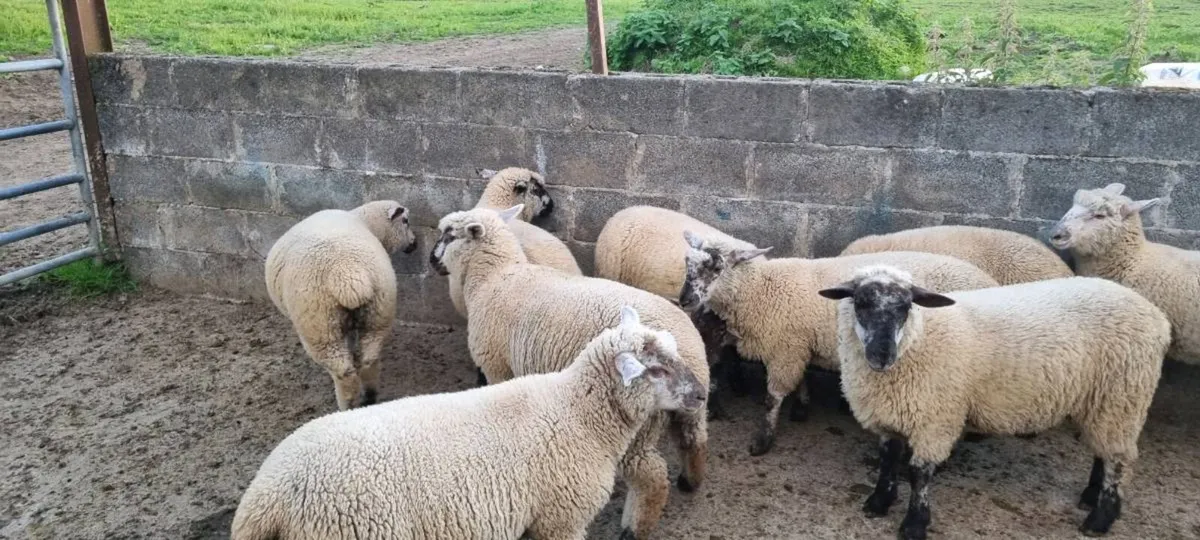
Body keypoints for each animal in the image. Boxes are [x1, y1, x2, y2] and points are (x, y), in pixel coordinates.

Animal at [264, 200, 417, 411]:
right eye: (406, 221)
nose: (414, 243)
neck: (364, 220)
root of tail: (348, 275)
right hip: (377, 314)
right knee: (368, 360)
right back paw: (369, 397)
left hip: (320, 329)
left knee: (344, 373)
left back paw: (347, 404)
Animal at [431, 205, 710, 540]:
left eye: (449, 235)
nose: (431, 260)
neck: (495, 276)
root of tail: (694, 352)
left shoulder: (497, 366)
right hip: (683, 412)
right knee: (693, 441)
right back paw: (690, 481)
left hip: (639, 424)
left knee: (651, 476)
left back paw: (632, 529)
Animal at [680, 234, 999, 456]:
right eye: (687, 264)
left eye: (716, 266)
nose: (684, 300)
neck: (760, 288)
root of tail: (989, 280)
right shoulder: (798, 345)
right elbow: (801, 378)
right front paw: (802, 407)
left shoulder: (785, 348)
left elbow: (773, 397)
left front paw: (763, 440)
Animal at [818, 266, 1170, 539]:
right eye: (860, 302)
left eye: (906, 307)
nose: (882, 355)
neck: (919, 340)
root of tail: (1158, 317)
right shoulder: (889, 416)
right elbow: (888, 460)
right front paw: (878, 502)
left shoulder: (936, 419)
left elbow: (919, 475)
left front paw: (915, 525)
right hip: (1101, 400)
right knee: (1103, 450)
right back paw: (1090, 496)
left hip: (1123, 393)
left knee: (1118, 459)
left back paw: (1100, 518)